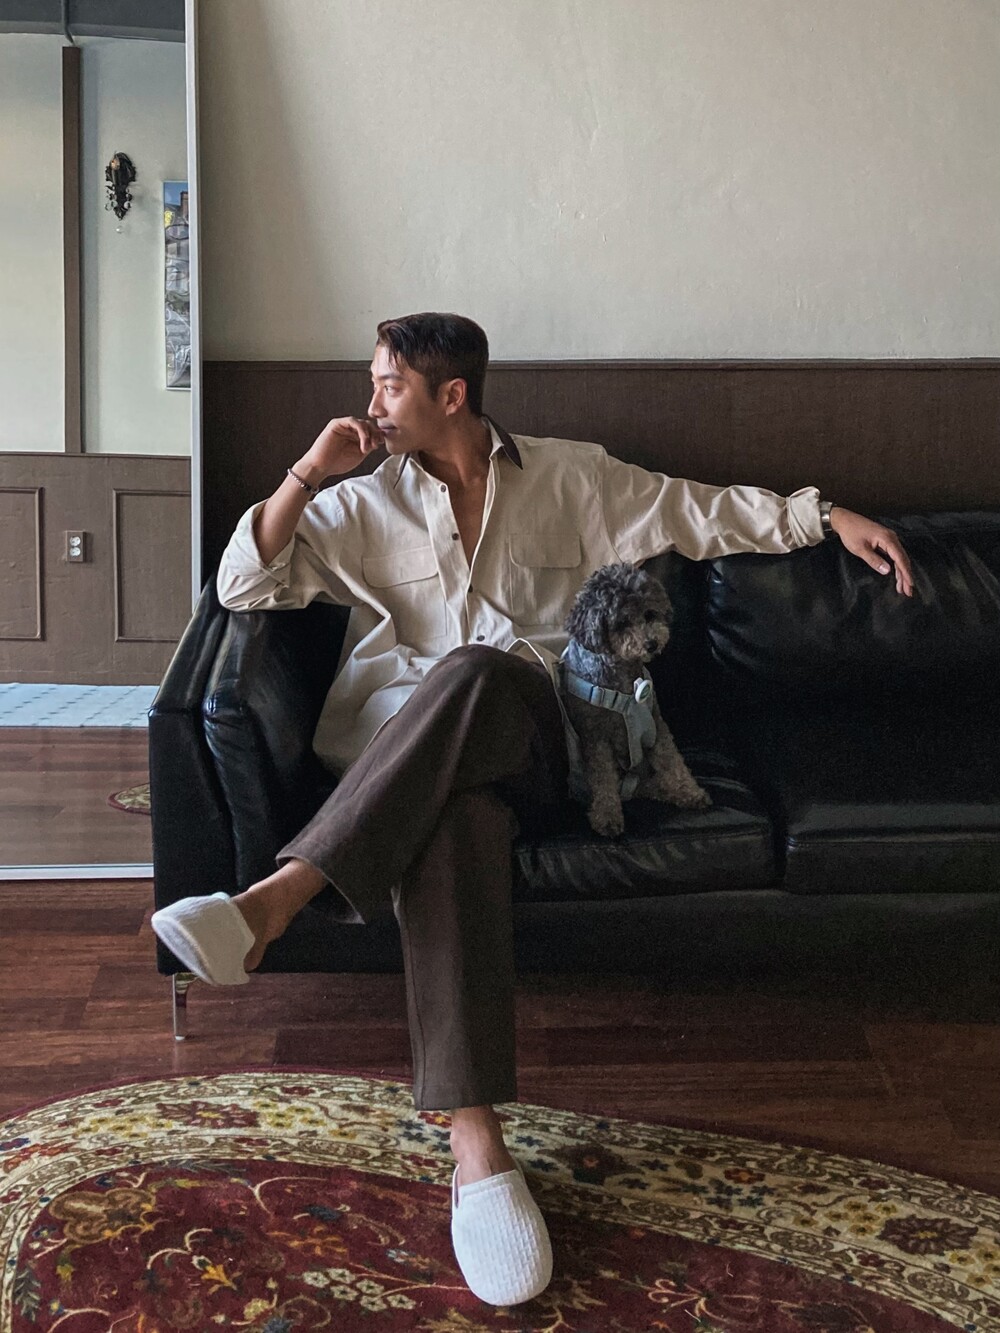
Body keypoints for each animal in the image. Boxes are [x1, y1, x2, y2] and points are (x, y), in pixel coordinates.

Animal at [559, 563, 711, 837]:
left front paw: (690, 791)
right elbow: (602, 778)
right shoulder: (595, 736)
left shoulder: (656, 723)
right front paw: (607, 816)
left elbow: (671, 760)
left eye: (649, 614)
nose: (651, 644)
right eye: (621, 623)